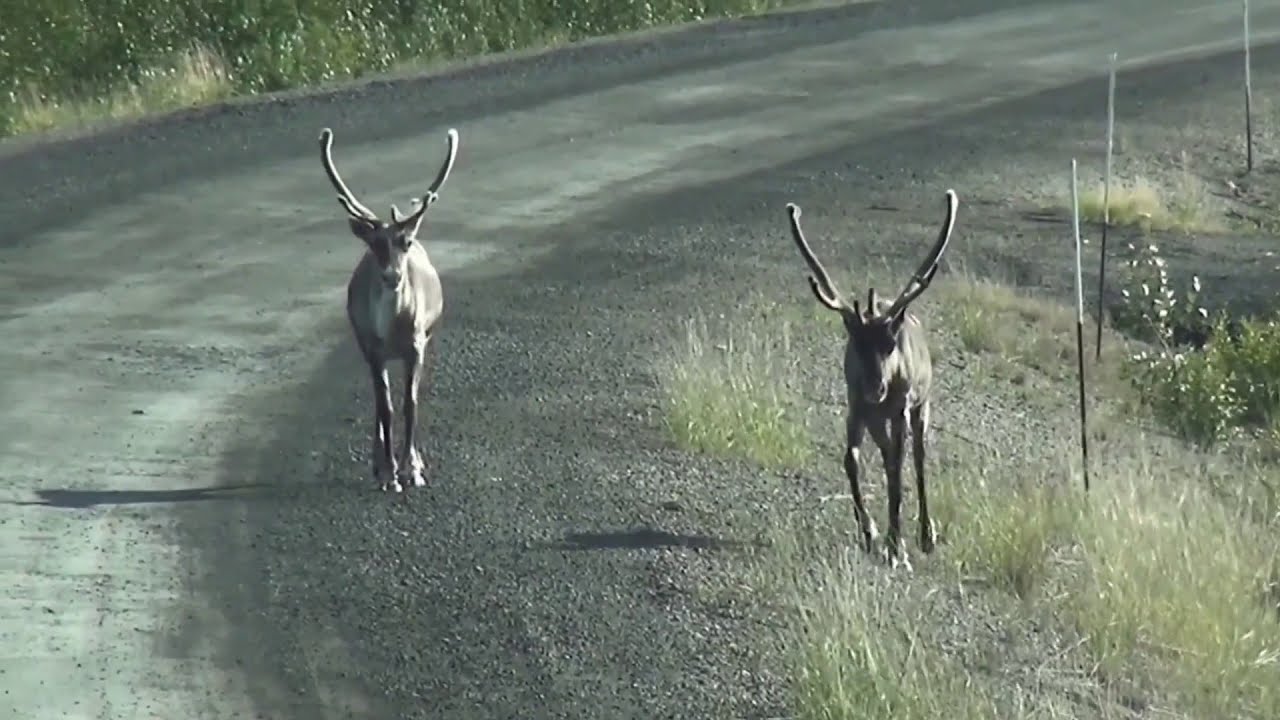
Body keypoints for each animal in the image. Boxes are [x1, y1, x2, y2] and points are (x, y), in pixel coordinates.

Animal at [318, 125, 460, 494]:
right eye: (374, 244)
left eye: (404, 243)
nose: (393, 276)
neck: (392, 330)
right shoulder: (373, 349)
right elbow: (387, 408)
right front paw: (390, 473)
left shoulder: (416, 346)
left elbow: (410, 404)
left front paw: (413, 469)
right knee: (378, 400)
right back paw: (378, 464)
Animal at [784, 189, 958, 568]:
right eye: (855, 343)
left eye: (890, 344)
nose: (875, 387)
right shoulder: (856, 407)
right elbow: (852, 460)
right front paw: (871, 533)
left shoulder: (900, 409)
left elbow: (898, 470)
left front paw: (896, 546)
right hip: (878, 417)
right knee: (889, 457)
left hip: (921, 406)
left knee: (917, 461)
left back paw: (925, 535)